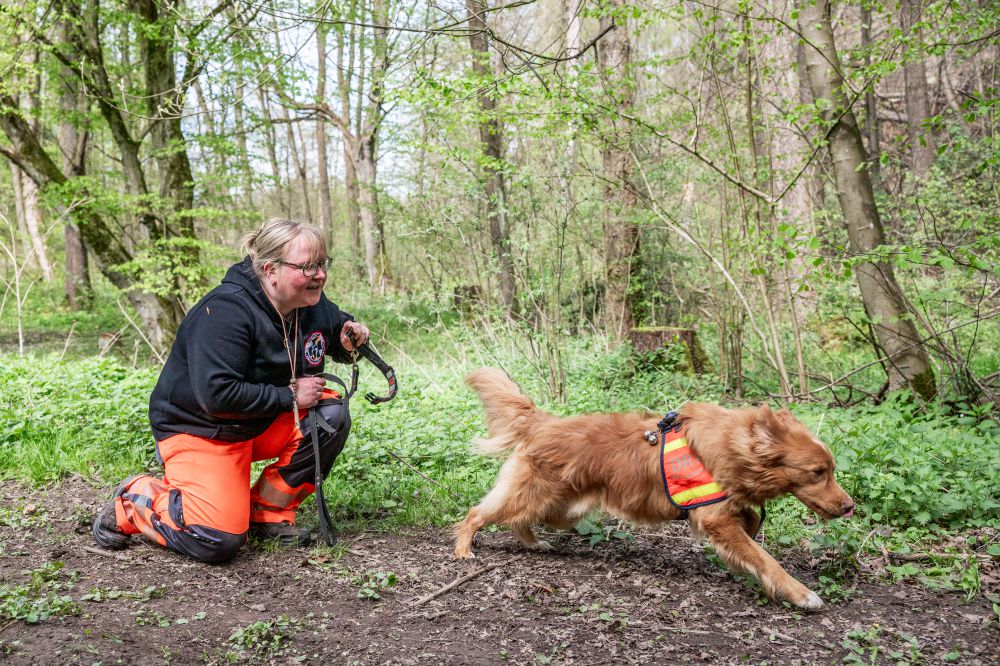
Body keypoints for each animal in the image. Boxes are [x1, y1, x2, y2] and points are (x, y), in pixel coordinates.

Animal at [454, 366, 852, 608]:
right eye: (818, 472)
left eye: (830, 469)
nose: (850, 507)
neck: (731, 447)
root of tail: (543, 422)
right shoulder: (714, 518)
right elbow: (765, 560)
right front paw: (801, 594)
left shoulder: (719, 509)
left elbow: (750, 523)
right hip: (539, 496)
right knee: (478, 513)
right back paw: (463, 549)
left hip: (562, 508)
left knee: (518, 519)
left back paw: (534, 543)